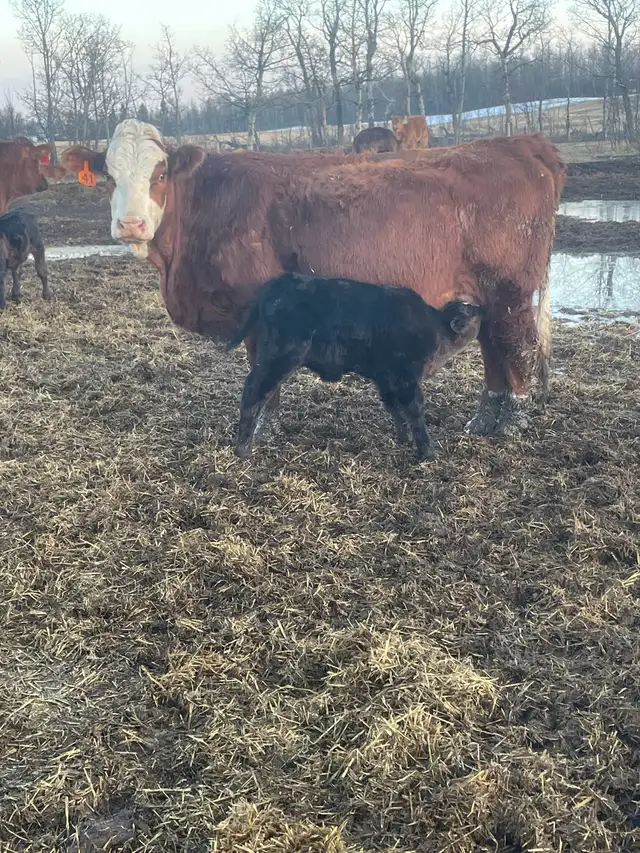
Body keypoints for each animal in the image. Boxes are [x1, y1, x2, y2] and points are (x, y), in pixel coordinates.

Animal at [60, 119, 566, 438]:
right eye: (109, 176)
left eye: (160, 173)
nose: (130, 224)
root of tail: (522, 143)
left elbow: (262, 370)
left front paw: (261, 429)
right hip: (485, 293)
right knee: (495, 348)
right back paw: (485, 421)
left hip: (510, 291)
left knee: (518, 346)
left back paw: (513, 422)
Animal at [227, 272, 483, 460]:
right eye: (468, 310)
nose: (482, 307)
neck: (435, 328)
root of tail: (282, 281)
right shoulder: (406, 378)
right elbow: (415, 411)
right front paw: (427, 451)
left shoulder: (386, 379)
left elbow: (395, 409)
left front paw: (403, 440)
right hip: (278, 359)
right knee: (253, 393)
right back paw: (243, 449)